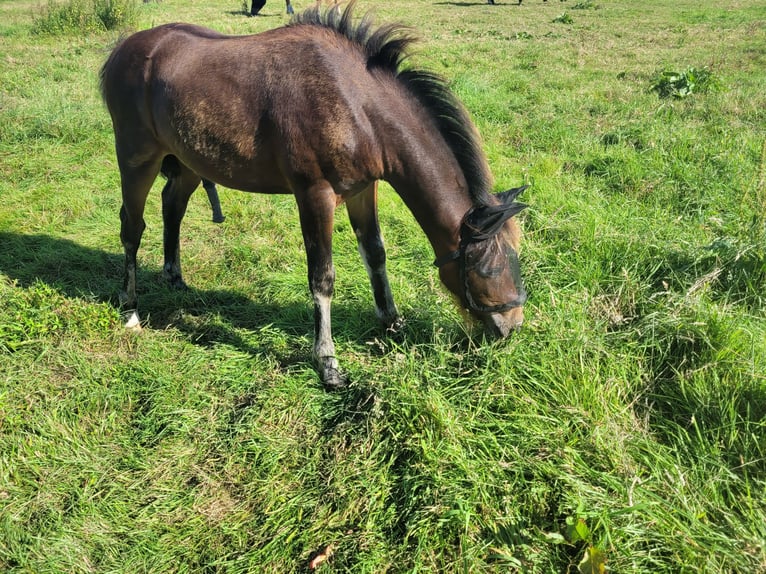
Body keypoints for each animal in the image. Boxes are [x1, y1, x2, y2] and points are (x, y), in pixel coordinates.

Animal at [99, 2, 528, 390]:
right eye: (488, 267)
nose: (512, 327)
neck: (356, 105)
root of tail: (122, 50)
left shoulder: (363, 190)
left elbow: (375, 253)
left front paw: (391, 321)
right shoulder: (314, 195)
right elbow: (322, 277)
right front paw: (328, 364)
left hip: (189, 161)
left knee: (172, 205)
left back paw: (174, 276)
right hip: (137, 159)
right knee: (132, 227)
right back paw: (131, 308)